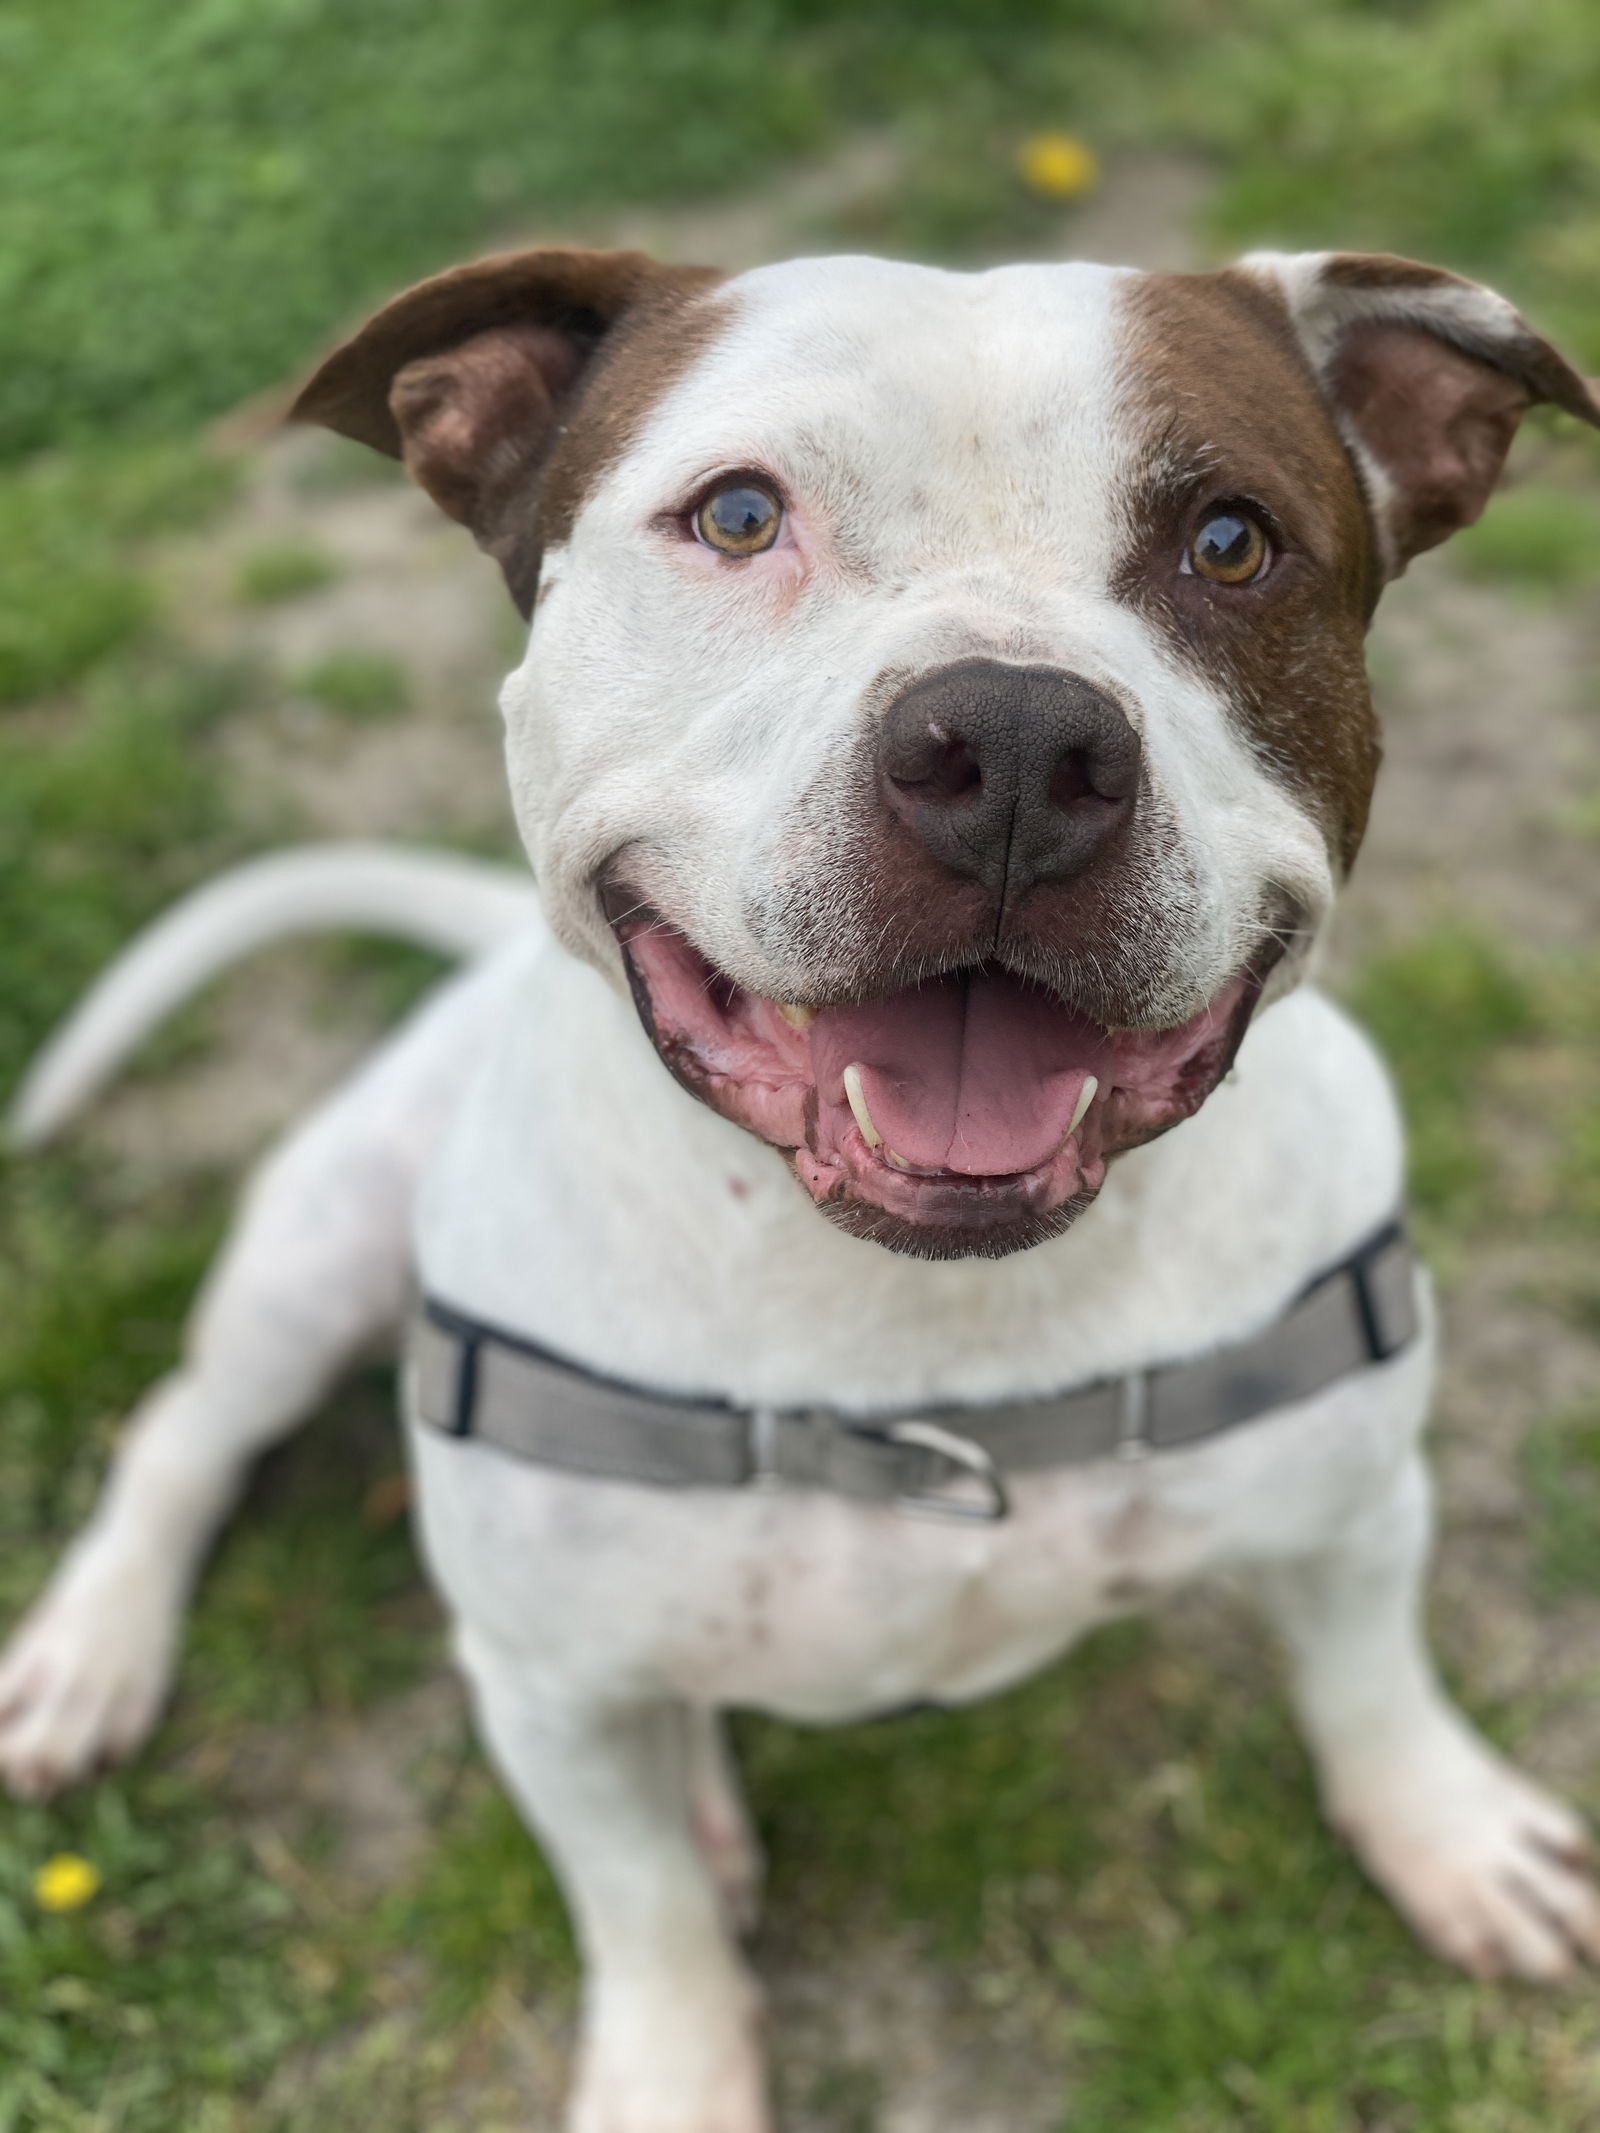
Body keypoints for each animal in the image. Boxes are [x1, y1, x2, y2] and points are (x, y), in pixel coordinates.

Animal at [3, 242, 1600, 2124]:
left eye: (1231, 541)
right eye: (740, 515)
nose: (1014, 740)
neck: (921, 1318)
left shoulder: (1356, 1511)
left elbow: (1371, 1687)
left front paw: (1450, 1834)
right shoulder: (547, 1687)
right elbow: (641, 1914)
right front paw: (675, 2075)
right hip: (319, 1251)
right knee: (185, 1430)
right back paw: (94, 1650)